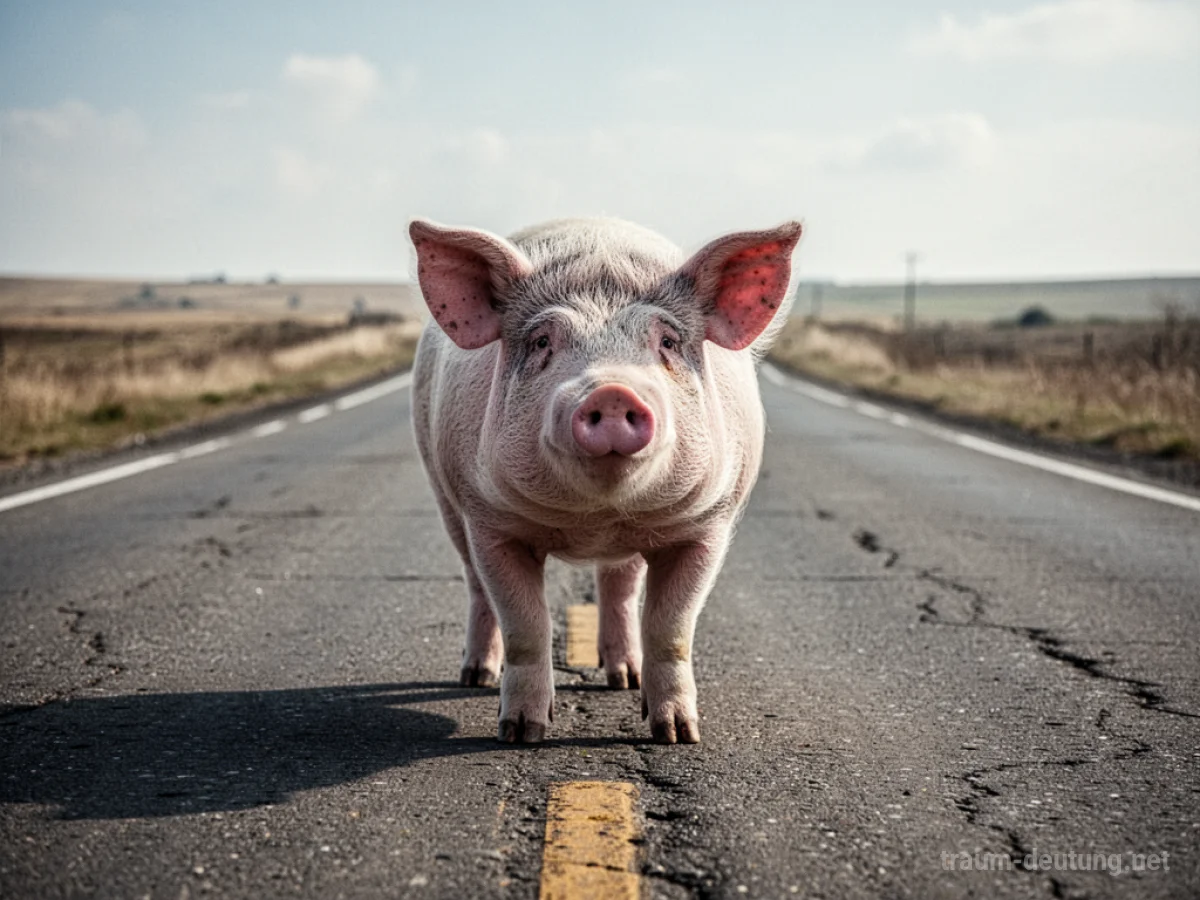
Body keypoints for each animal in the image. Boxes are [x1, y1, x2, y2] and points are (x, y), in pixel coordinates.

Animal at [409, 216, 802, 744]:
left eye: (667, 342)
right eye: (543, 341)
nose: (613, 391)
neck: (597, 518)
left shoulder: (706, 525)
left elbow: (671, 627)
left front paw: (678, 735)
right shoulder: (491, 521)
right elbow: (526, 625)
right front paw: (520, 733)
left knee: (619, 588)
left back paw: (624, 679)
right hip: (445, 496)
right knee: (476, 585)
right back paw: (475, 678)